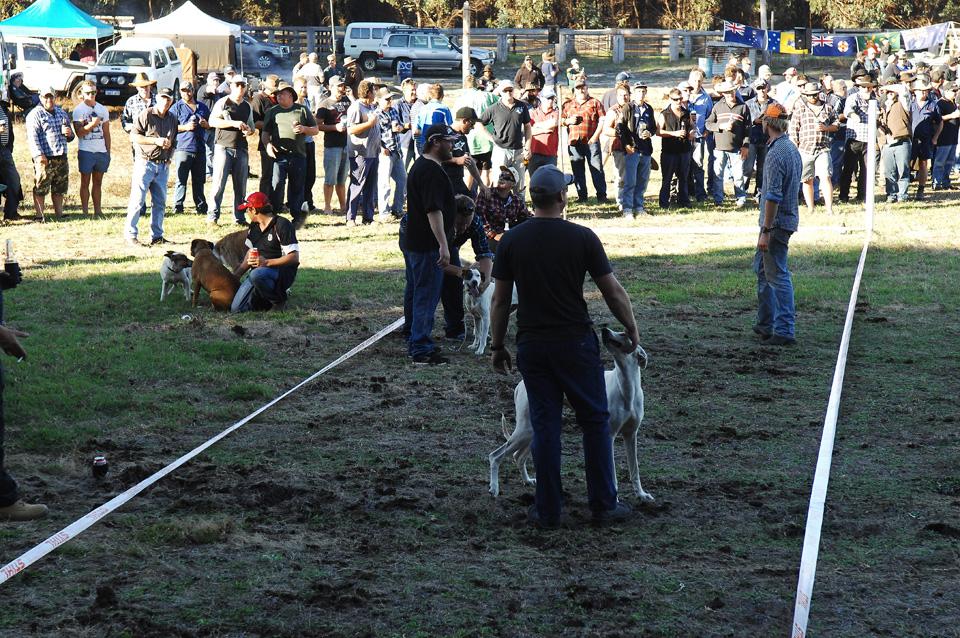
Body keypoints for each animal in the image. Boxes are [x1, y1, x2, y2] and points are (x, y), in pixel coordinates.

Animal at [488, 327, 653, 502]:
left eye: (623, 333)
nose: (604, 329)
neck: (626, 387)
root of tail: (520, 384)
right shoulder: (609, 435)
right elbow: (612, 472)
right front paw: (614, 498)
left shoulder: (631, 435)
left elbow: (634, 469)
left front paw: (642, 494)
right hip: (525, 430)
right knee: (495, 456)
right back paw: (494, 488)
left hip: (532, 431)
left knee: (518, 456)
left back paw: (527, 481)